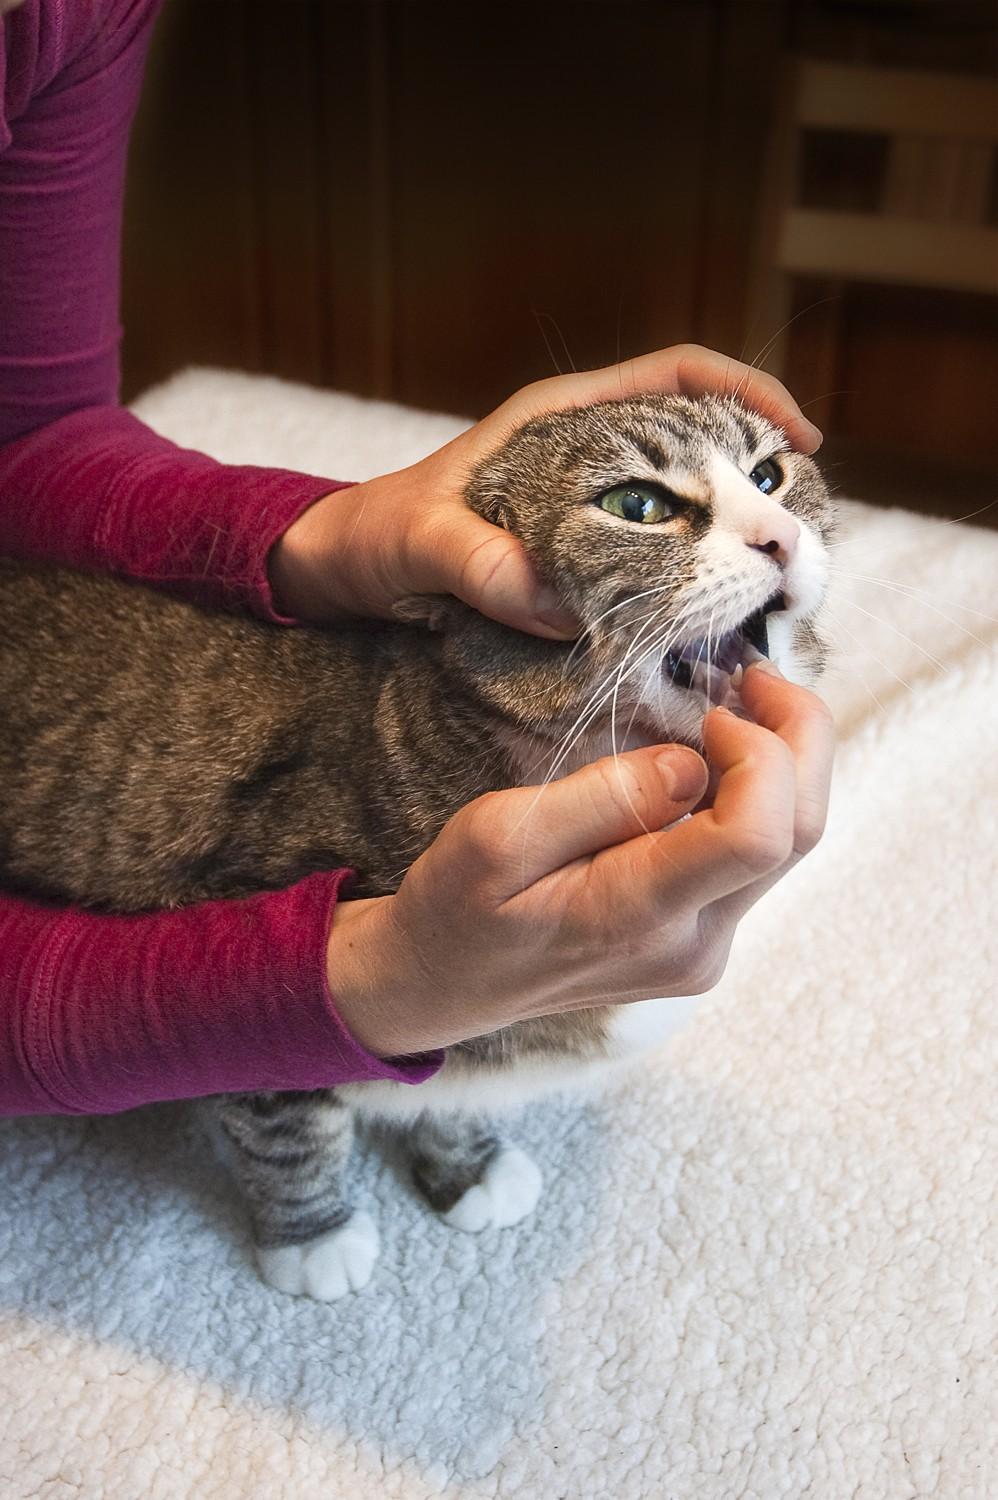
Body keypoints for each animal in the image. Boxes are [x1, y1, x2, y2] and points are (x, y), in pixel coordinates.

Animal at [0, 393, 834, 1296]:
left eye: (768, 477)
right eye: (637, 505)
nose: (779, 536)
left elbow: (459, 1086)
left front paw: (464, 1164)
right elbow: (286, 1118)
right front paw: (312, 1236)